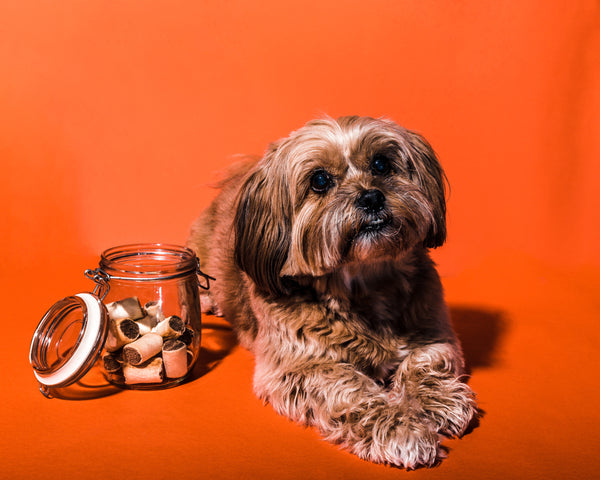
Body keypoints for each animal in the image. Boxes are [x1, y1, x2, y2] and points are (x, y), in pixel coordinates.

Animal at [188, 115, 478, 468]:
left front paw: (436, 401)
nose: (371, 197)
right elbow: (351, 389)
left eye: (381, 164)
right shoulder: (301, 368)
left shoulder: (434, 334)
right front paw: (399, 427)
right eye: (320, 180)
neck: (365, 284)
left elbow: (424, 364)